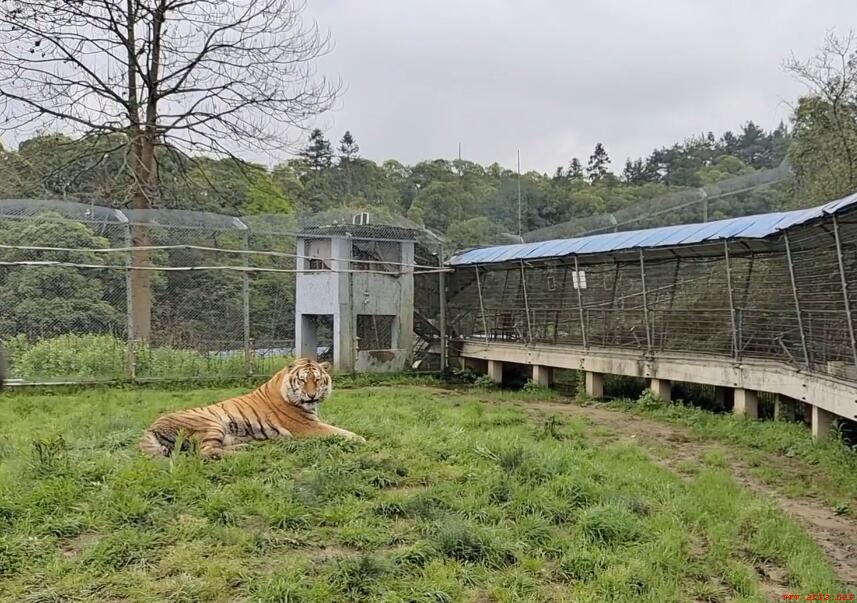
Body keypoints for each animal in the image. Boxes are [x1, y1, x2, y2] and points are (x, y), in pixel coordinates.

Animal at [138, 358, 364, 458]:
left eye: (317, 380)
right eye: (302, 380)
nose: (311, 395)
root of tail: (151, 427)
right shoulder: (307, 426)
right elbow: (339, 431)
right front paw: (360, 439)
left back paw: (247, 446)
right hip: (211, 423)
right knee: (205, 452)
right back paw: (244, 451)